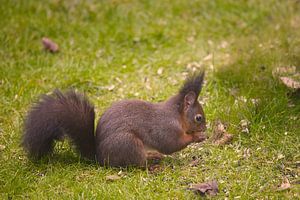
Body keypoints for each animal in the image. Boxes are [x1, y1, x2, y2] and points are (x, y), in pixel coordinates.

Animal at [22, 72, 207, 167]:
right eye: (198, 118)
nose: (205, 128)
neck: (176, 115)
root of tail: (99, 157)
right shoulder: (166, 128)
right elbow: (171, 145)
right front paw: (197, 137)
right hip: (128, 144)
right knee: (137, 165)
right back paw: (152, 164)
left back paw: (153, 156)